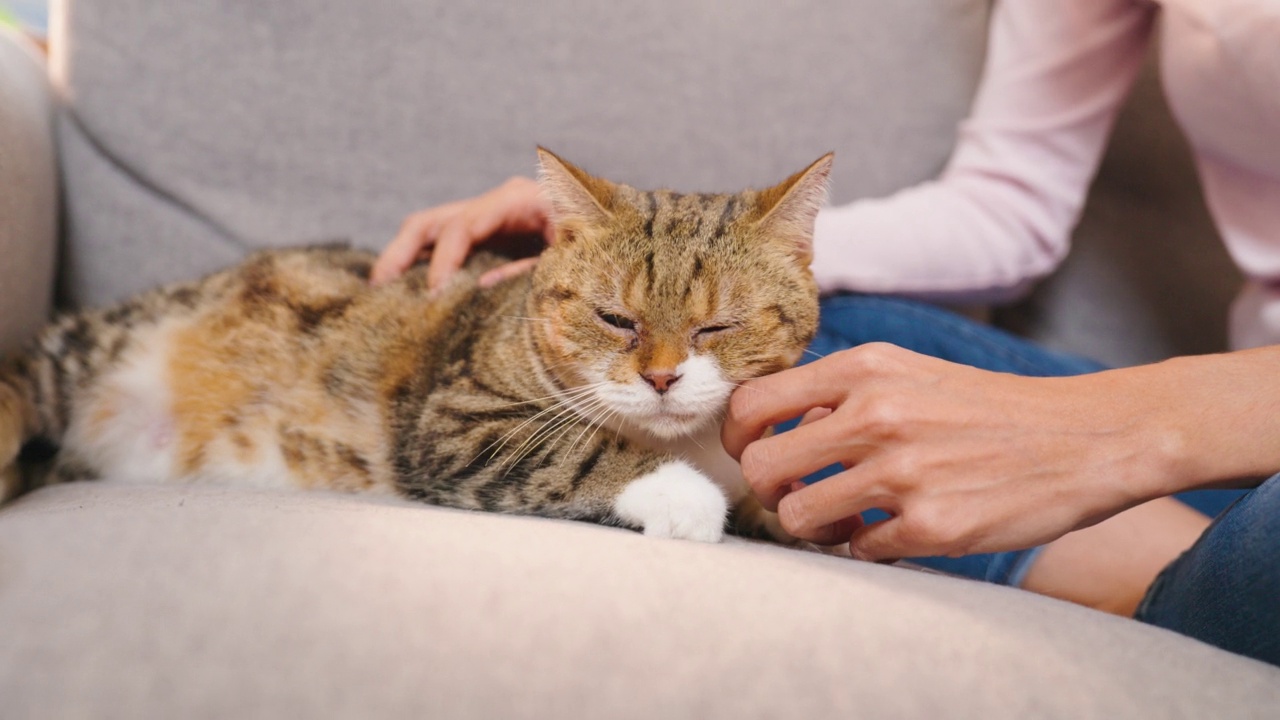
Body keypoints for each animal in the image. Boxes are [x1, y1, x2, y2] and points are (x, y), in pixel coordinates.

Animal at [0, 148, 829, 540]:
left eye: (715, 327)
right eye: (616, 319)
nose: (661, 378)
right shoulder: (453, 422)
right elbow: (579, 451)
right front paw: (687, 496)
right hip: (88, 351)